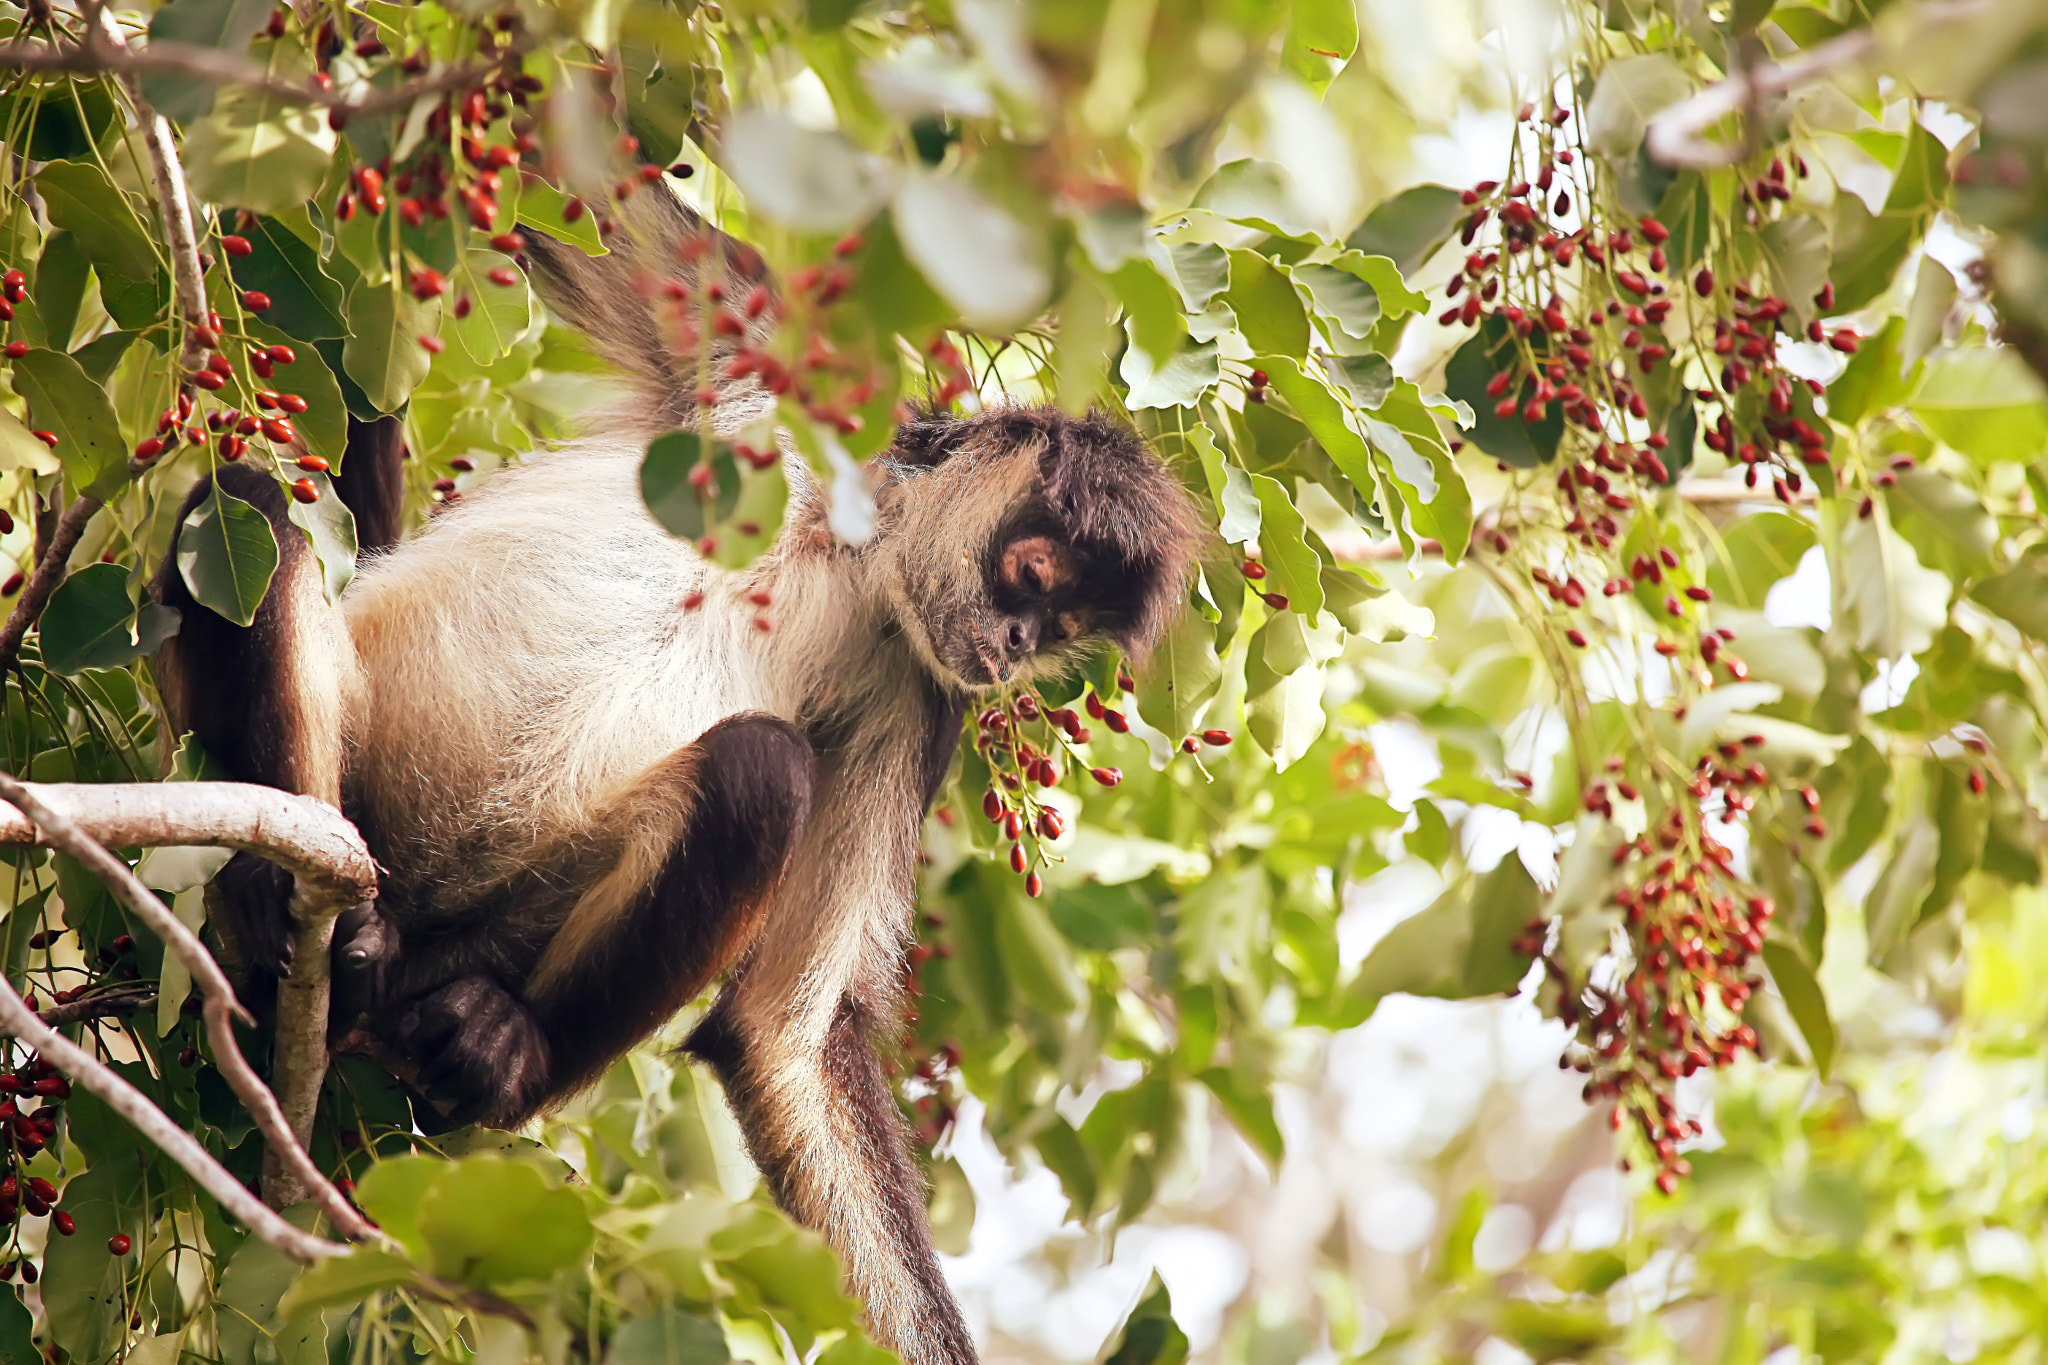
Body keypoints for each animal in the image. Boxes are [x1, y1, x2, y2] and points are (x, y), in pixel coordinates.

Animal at [151, 184, 1204, 1365]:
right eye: (1034, 574)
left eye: (1061, 628)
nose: (1020, 644)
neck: (844, 540)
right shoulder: (762, 342)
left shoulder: (922, 690)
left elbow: (787, 1038)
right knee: (246, 509)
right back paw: (267, 909)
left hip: (472, 938)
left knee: (759, 774)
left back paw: (491, 1045)